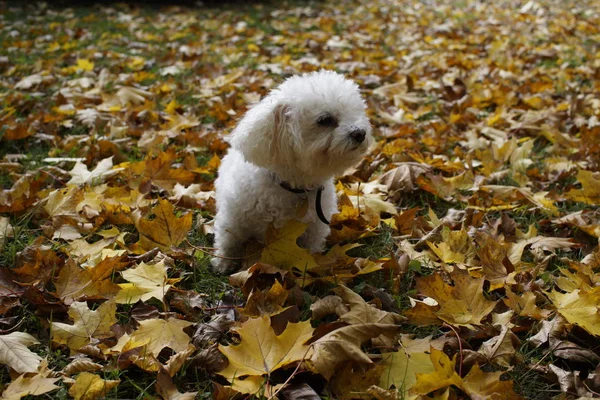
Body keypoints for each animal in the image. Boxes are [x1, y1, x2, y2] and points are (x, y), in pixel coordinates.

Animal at [210, 70, 370, 274]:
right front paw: (223, 262)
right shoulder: (233, 217)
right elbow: (228, 239)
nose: (360, 133)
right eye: (325, 120)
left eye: (355, 112)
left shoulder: (315, 226)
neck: (294, 185)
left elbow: (312, 247)